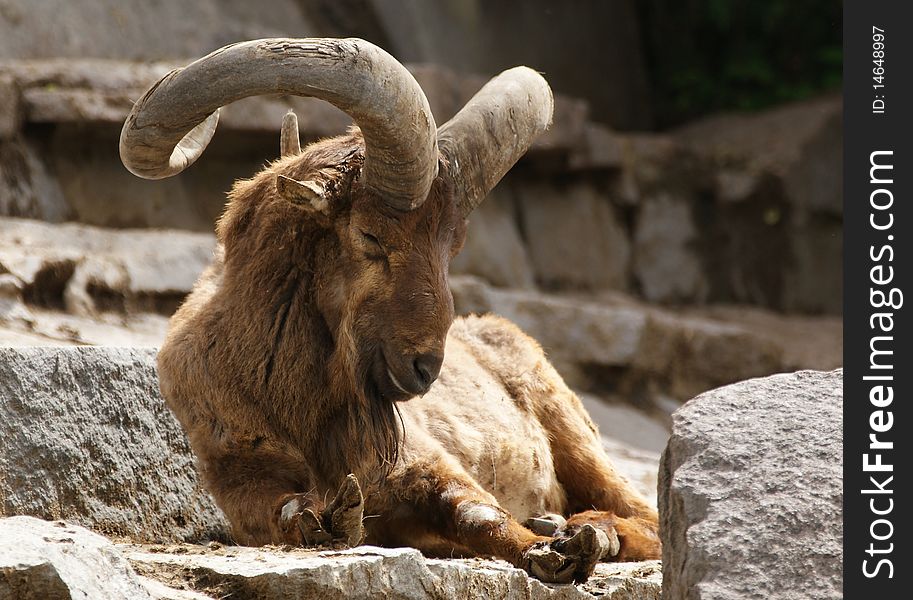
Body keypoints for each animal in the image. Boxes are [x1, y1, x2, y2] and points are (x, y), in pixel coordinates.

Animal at [123, 37, 664, 580]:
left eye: (452, 245)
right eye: (369, 235)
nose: (425, 367)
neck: (293, 402)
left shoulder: (420, 464)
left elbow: (478, 512)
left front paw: (553, 552)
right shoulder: (239, 474)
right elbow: (286, 511)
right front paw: (330, 520)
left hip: (575, 436)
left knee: (646, 515)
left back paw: (586, 530)